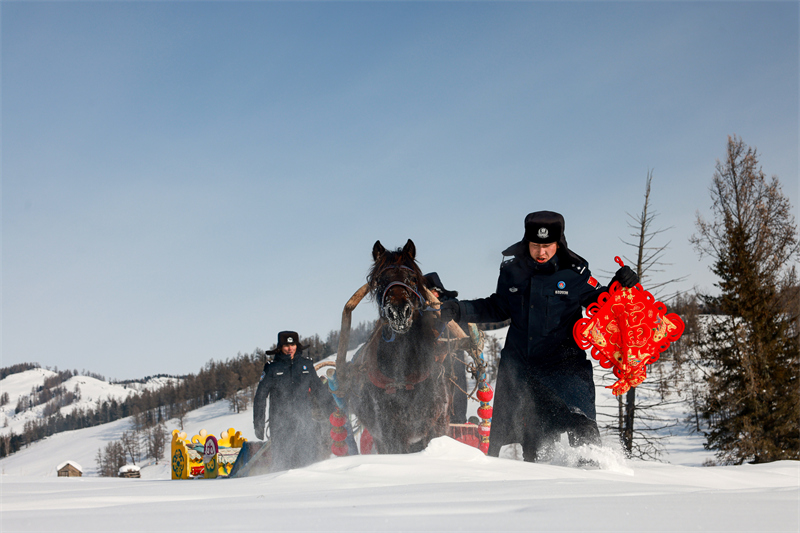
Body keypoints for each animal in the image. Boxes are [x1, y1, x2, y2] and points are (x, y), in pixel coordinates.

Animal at [334, 241, 454, 454]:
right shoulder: (390, 432)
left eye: (413, 278)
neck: (404, 376)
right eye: (380, 280)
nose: (399, 311)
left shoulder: (437, 424)